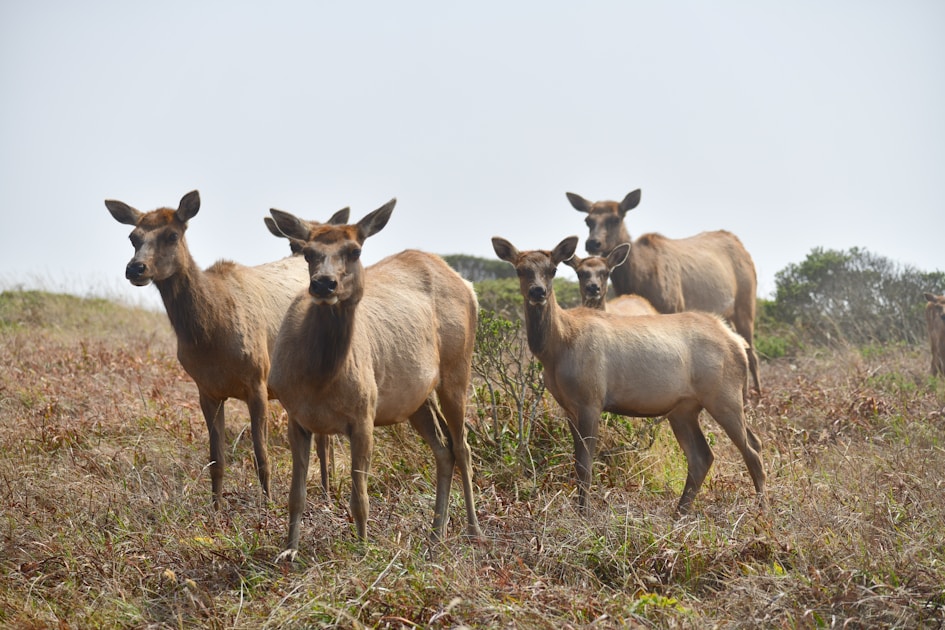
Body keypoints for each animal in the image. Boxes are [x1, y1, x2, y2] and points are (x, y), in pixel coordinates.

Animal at [105, 190, 347, 508]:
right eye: (133, 237)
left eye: (172, 235)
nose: (135, 268)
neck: (210, 339)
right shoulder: (207, 390)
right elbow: (215, 460)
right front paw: (216, 509)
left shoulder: (258, 380)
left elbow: (262, 456)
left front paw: (269, 506)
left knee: (324, 439)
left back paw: (327, 493)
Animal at [266, 199, 483, 561]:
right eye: (308, 252)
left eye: (355, 250)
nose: (323, 284)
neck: (319, 379)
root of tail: (468, 285)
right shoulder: (295, 417)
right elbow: (296, 495)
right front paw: (289, 551)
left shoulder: (364, 414)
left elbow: (360, 498)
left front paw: (362, 549)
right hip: (417, 399)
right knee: (443, 449)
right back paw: (436, 533)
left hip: (457, 369)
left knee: (463, 446)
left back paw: (473, 531)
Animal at [492, 235, 767, 517]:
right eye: (520, 269)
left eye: (552, 270)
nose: (538, 292)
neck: (557, 348)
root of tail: (737, 343)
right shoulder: (568, 406)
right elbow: (577, 462)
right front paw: (581, 510)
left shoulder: (591, 399)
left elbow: (585, 465)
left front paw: (585, 514)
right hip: (683, 409)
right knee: (704, 456)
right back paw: (680, 512)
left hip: (724, 395)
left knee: (752, 449)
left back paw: (762, 509)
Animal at [567, 189, 762, 395]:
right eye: (588, 220)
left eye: (615, 219)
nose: (592, 243)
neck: (636, 277)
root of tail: (741, 246)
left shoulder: (672, 306)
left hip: (746, 304)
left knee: (752, 353)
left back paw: (756, 396)